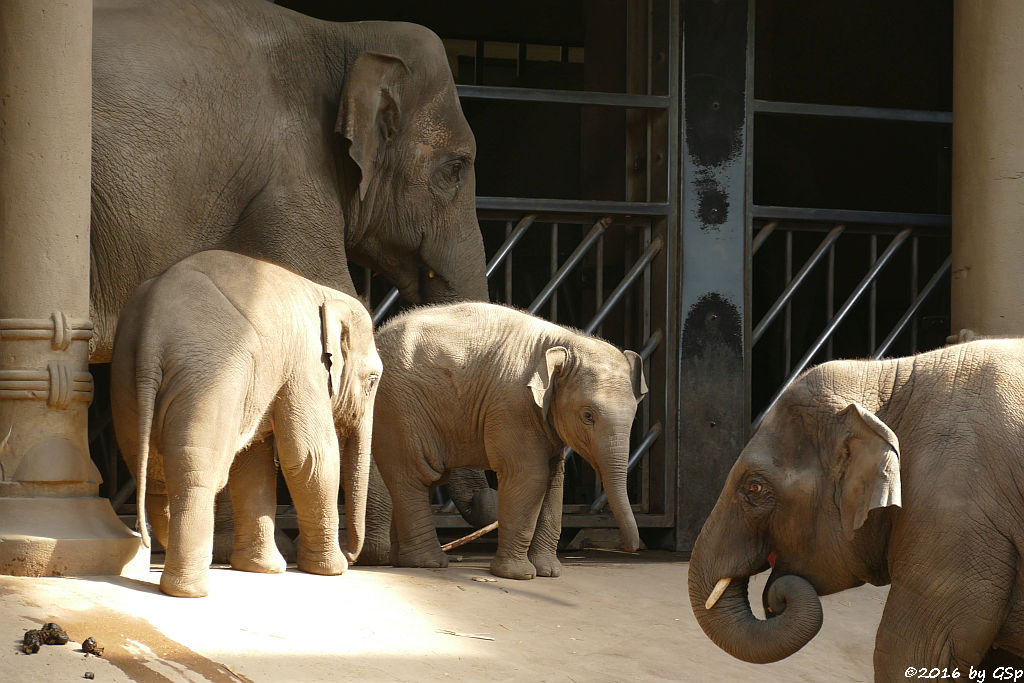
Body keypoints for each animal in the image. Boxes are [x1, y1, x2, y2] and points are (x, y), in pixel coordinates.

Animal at [112, 252, 382, 598]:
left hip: (126, 378)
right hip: (209, 379)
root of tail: (152, 330)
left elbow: (254, 463)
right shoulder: (305, 365)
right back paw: (191, 591)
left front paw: (263, 569)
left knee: (155, 474)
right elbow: (310, 457)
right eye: (372, 380)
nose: (352, 553)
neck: (322, 293)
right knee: (198, 474)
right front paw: (333, 570)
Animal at [370, 301, 647, 581]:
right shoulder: (513, 405)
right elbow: (530, 475)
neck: (565, 341)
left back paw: (404, 562)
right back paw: (429, 563)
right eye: (588, 416)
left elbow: (554, 480)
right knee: (415, 474)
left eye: (635, 414)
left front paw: (548, 572)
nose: (631, 548)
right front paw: (518, 575)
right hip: (397, 407)